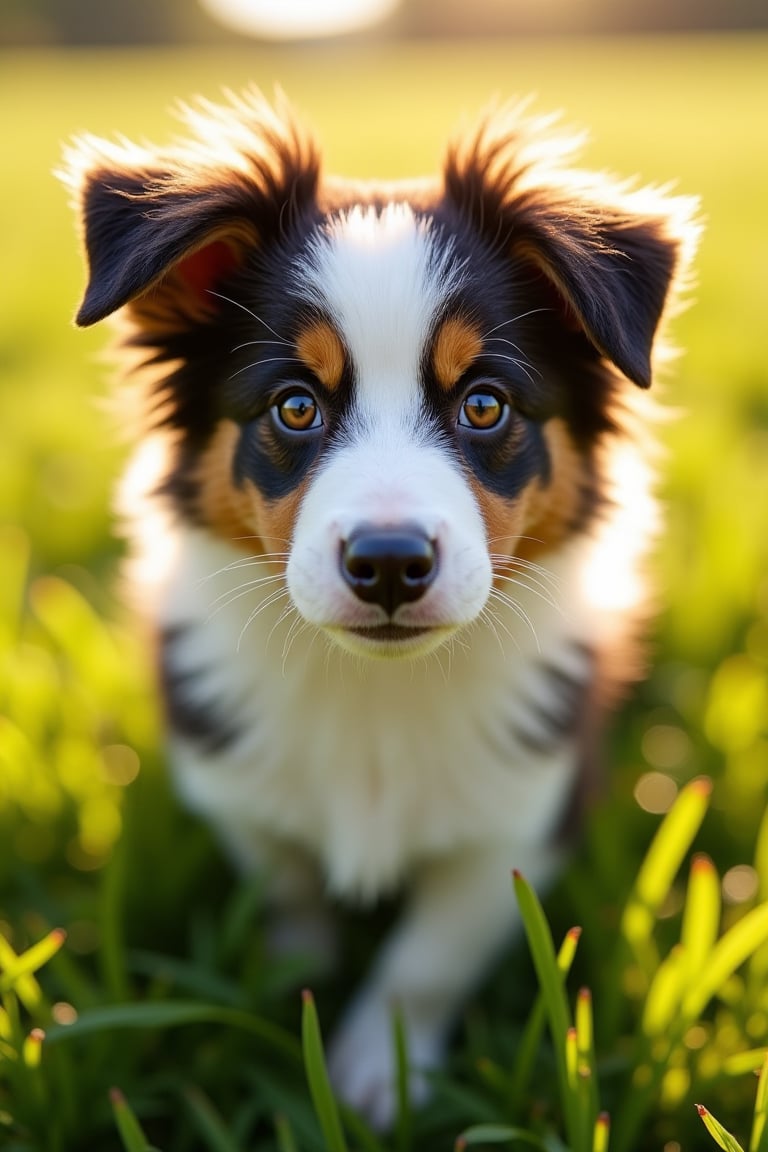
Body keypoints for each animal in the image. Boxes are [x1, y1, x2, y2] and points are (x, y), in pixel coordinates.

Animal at [64, 87, 695, 1124]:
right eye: (294, 405)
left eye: (484, 404)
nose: (391, 564)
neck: (377, 692)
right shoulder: (236, 785)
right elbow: (289, 899)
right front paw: (295, 1002)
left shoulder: (524, 812)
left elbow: (431, 952)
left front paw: (375, 1078)